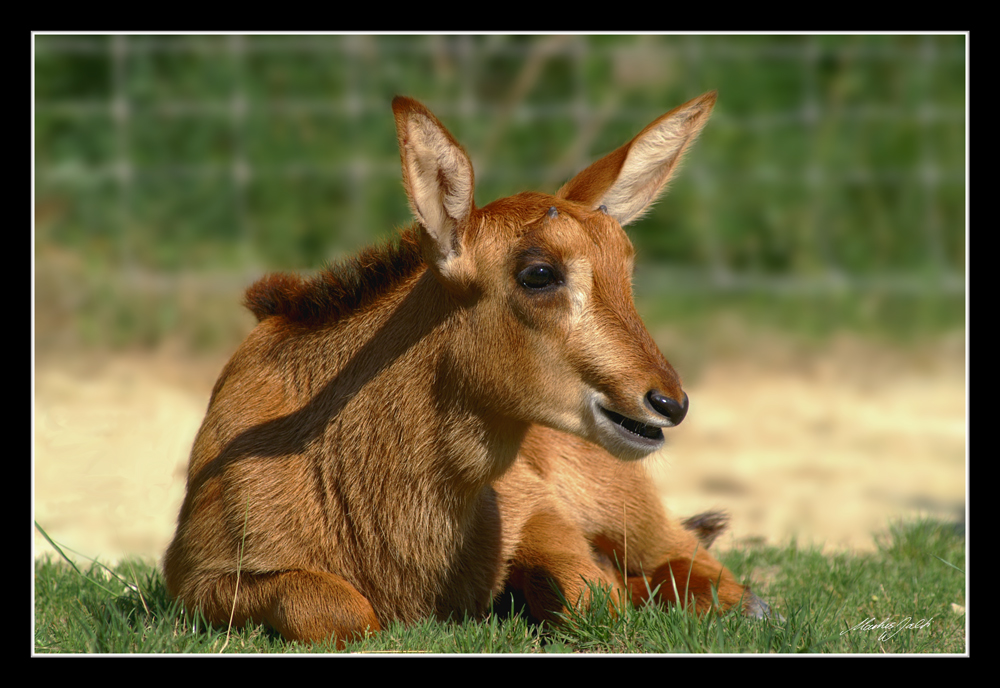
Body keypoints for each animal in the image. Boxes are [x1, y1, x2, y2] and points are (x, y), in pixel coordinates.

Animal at [166, 90, 764, 644]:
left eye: (626, 267)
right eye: (539, 272)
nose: (667, 403)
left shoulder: (536, 508)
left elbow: (589, 594)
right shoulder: (196, 580)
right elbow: (337, 608)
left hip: (629, 509)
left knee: (701, 566)